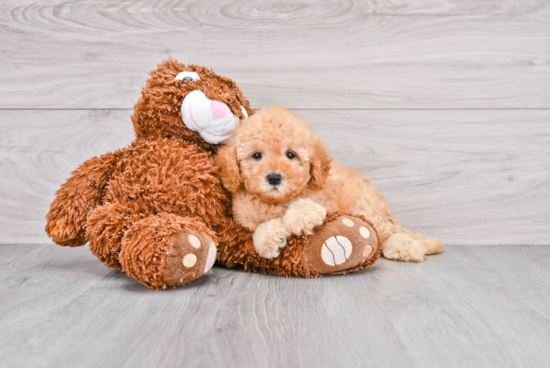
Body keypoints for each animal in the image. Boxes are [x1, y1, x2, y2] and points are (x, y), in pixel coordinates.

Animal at [216, 105, 444, 262]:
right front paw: (269, 239)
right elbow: (261, 227)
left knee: (388, 233)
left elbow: (303, 207)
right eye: (256, 155)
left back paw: (408, 248)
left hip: (365, 207)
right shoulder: (244, 221)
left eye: (290, 155)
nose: (274, 177)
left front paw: (299, 220)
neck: (275, 202)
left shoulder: (324, 202)